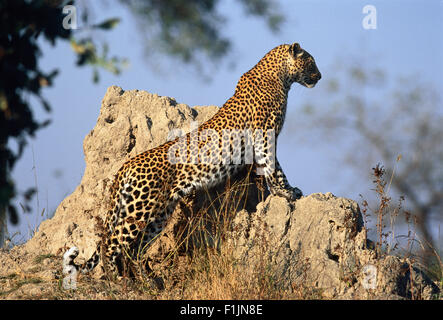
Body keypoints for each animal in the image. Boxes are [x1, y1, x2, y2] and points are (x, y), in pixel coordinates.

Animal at [65, 42, 322, 280]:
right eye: (311, 61)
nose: (319, 76)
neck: (281, 77)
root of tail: (127, 164)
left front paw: (285, 191)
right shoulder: (266, 136)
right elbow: (274, 168)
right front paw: (286, 192)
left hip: (159, 213)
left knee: (135, 249)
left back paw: (147, 281)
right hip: (141, 207)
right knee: (111, 242)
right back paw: (114, 278)